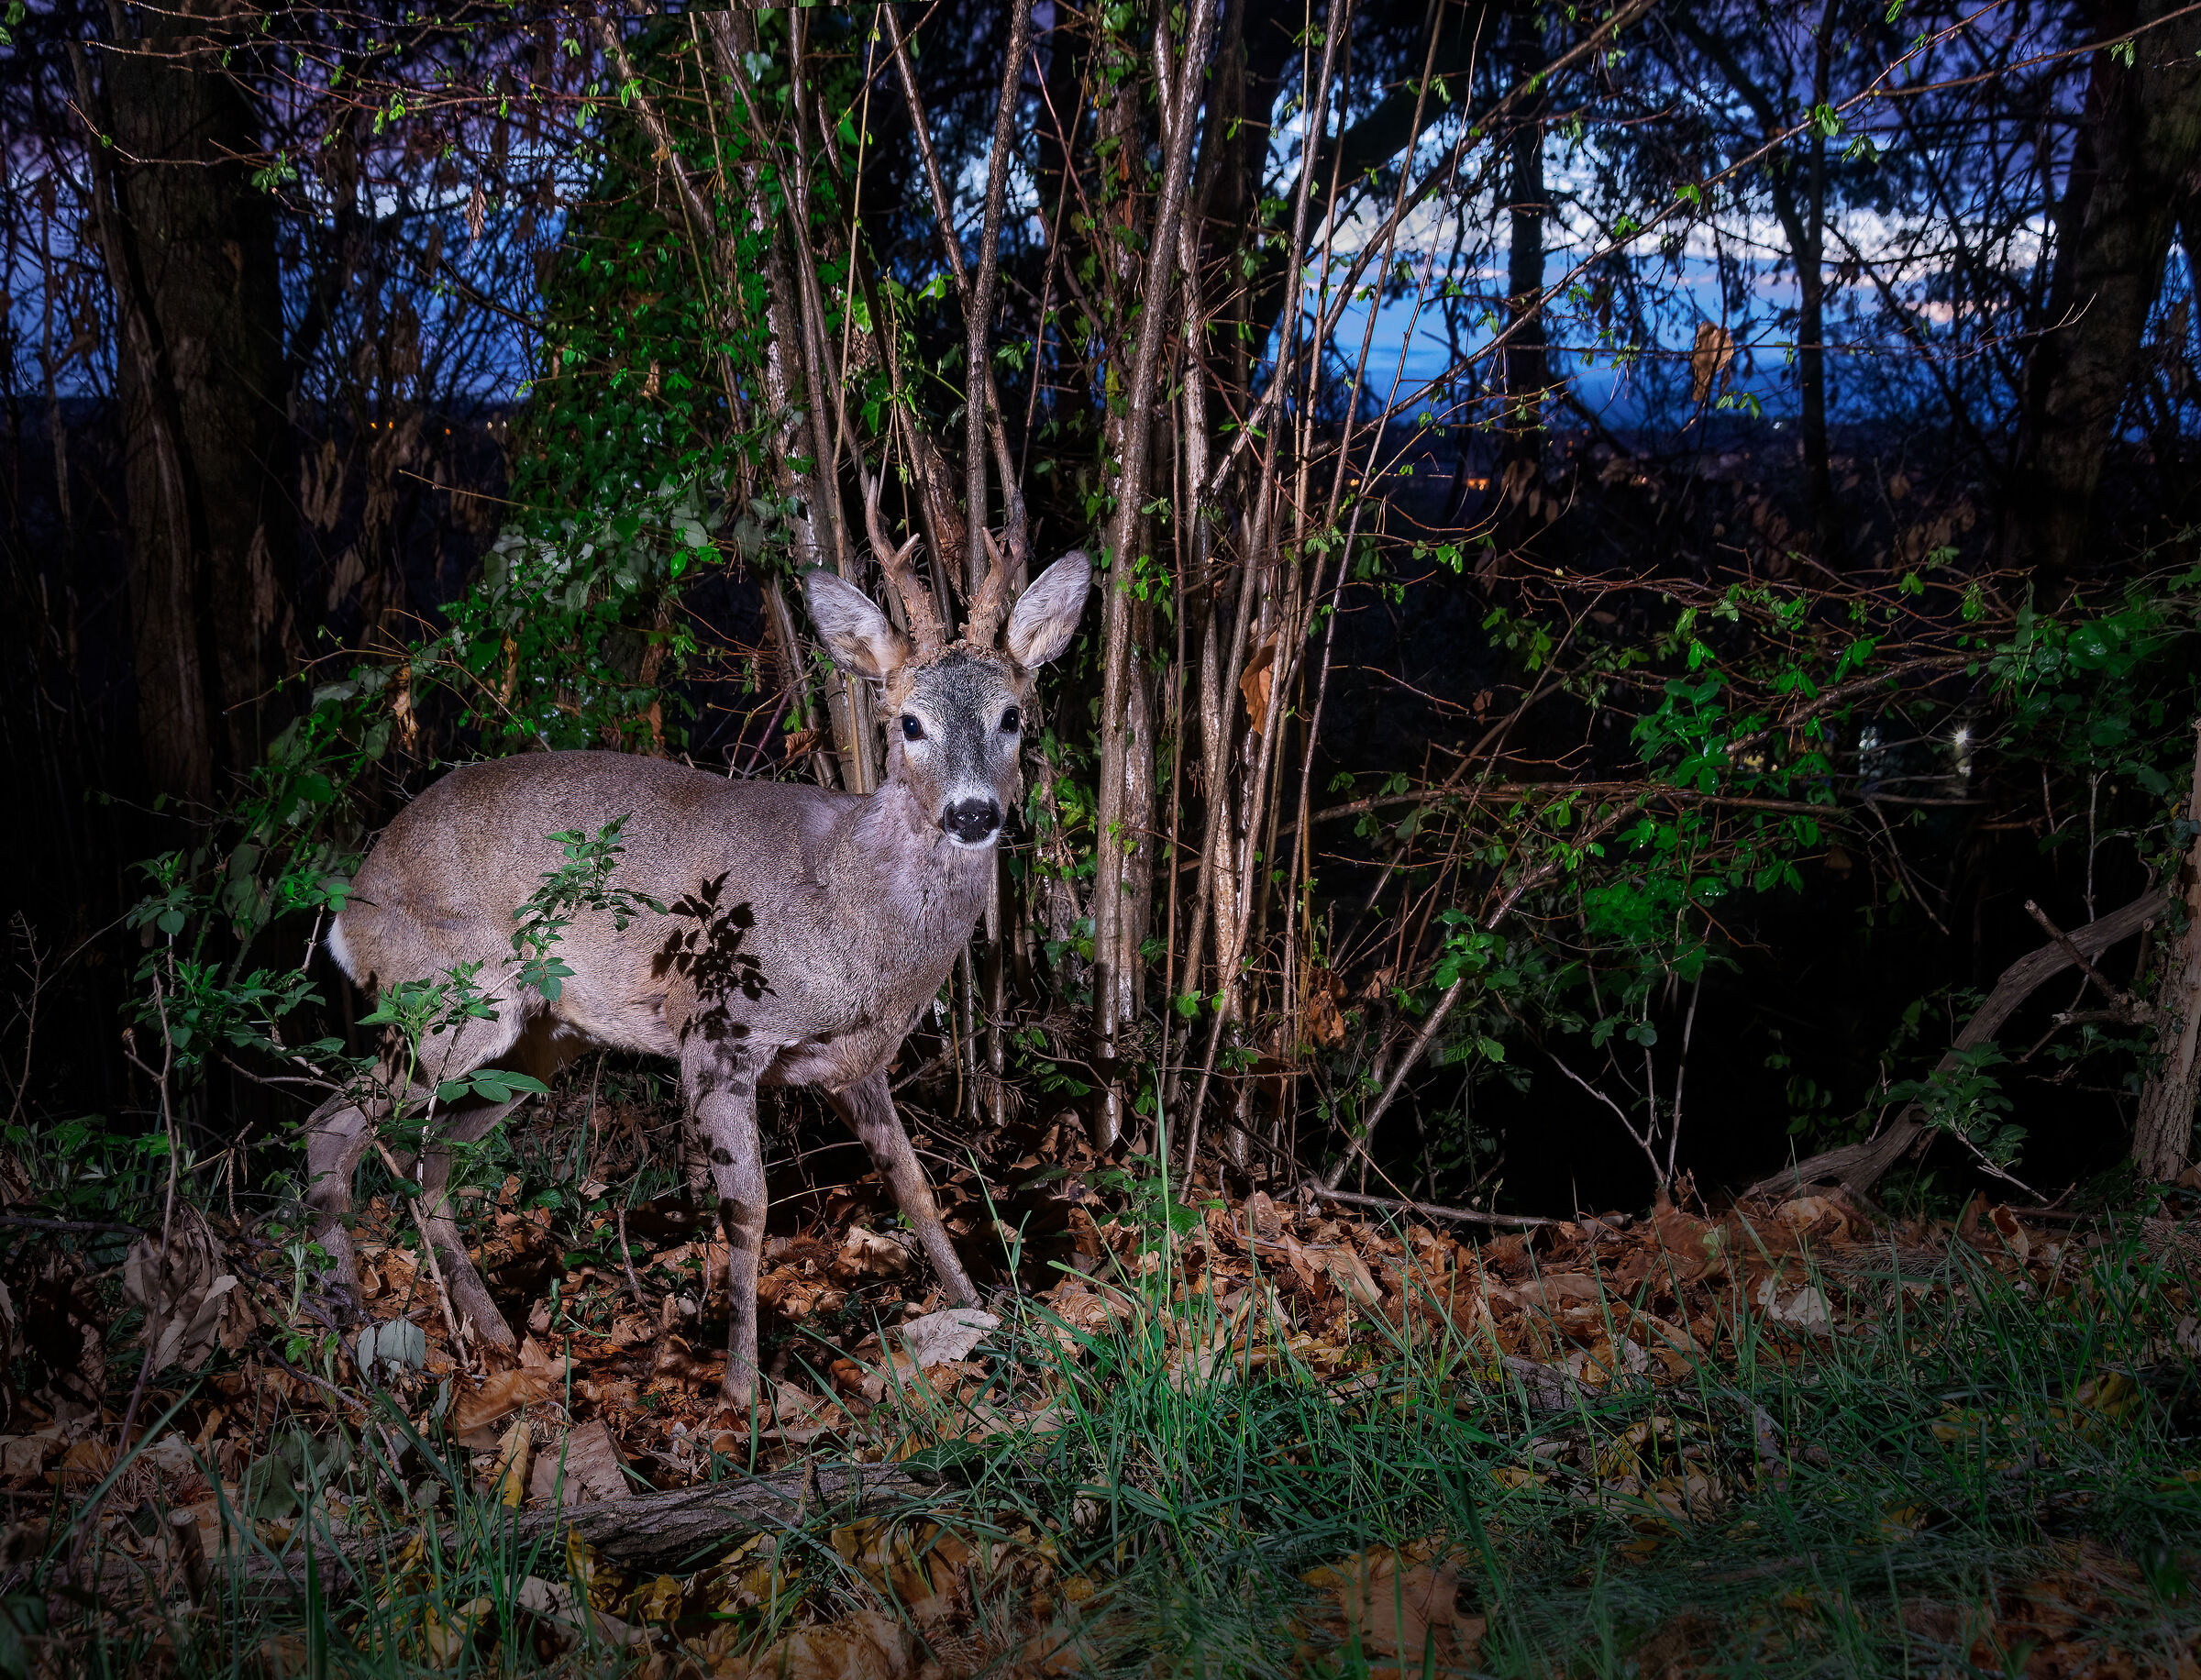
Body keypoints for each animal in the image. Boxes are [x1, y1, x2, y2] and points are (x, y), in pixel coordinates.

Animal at [305, 524, 1091, 1403]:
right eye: (911, 722)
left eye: (1012, 715)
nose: (973, 813)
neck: (851, 904)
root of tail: (352, 906)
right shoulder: (716, 1030)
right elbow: (747, 1208)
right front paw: (743, 1386)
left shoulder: (857, 1064)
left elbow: (913, 1185)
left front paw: (986, 1313)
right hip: (444, 1001)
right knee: (332, 1129)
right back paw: (347, 1328)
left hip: (536, 1043)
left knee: (432, 1162)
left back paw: (495, 1338)